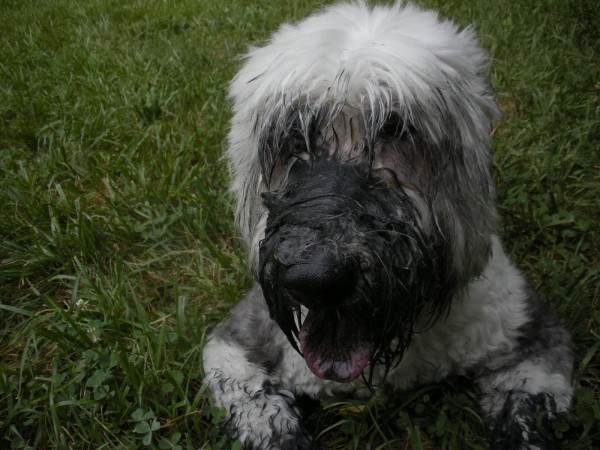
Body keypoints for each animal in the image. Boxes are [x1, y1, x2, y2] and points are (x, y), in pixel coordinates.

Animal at [204, 1, 576, 448]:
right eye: (293, 137)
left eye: (398, 129)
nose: (315, 278)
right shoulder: (237, 344)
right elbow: (260, 408)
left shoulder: (532, 336)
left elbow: (524, 415)